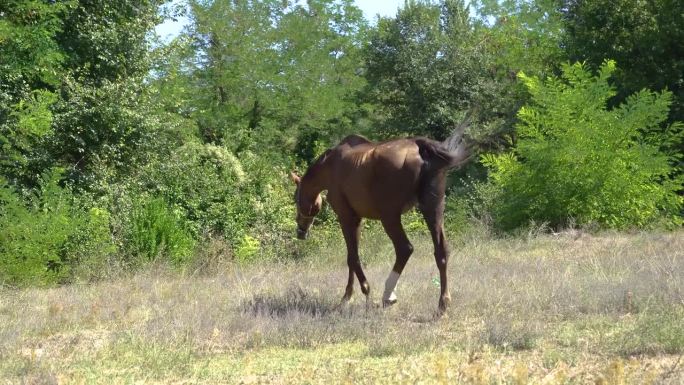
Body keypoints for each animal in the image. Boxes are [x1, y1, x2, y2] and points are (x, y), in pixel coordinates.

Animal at [288, 126, 470, 312]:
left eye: (296, 198)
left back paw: (388, 294)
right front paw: (347, 296)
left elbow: (353, 257)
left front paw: (364, 291)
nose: (301, 231)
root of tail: (419, 147)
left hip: (390, 217)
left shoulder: (345, 218)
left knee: (405, 249)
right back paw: (443, 302)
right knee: (441, 251)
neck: (331, 166)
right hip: (433, 210)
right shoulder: (357, 220)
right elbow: (351, 258)